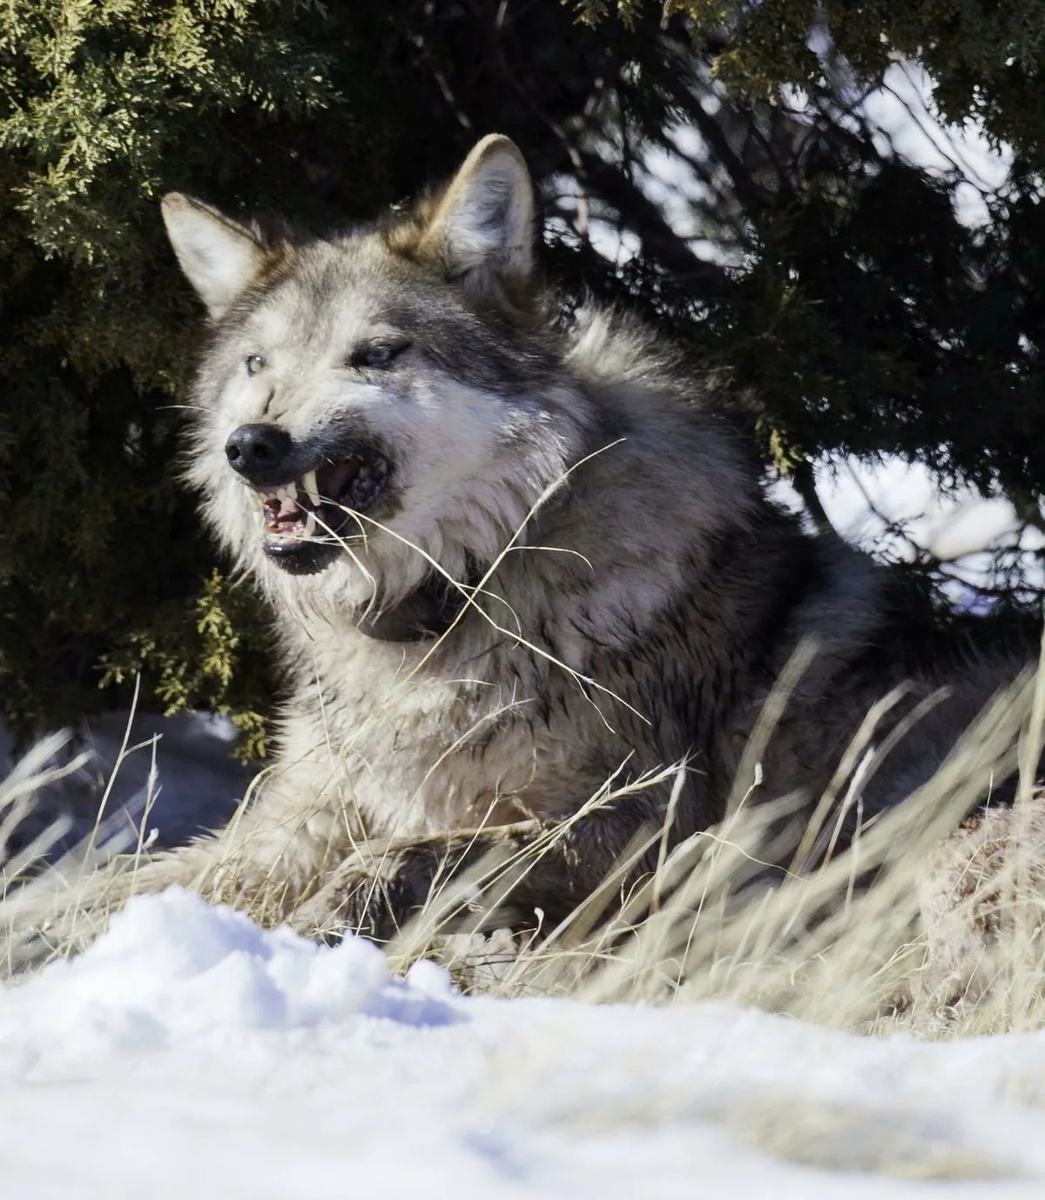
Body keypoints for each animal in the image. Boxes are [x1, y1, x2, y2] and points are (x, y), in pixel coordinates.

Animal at [24, 133, 1036, 955]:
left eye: (376, 355)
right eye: (256, 364)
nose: (251, 447)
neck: (454, 601)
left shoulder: (638, 829)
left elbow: (398, 859)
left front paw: (315, 933)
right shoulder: (293, 821)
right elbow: (108, 888)